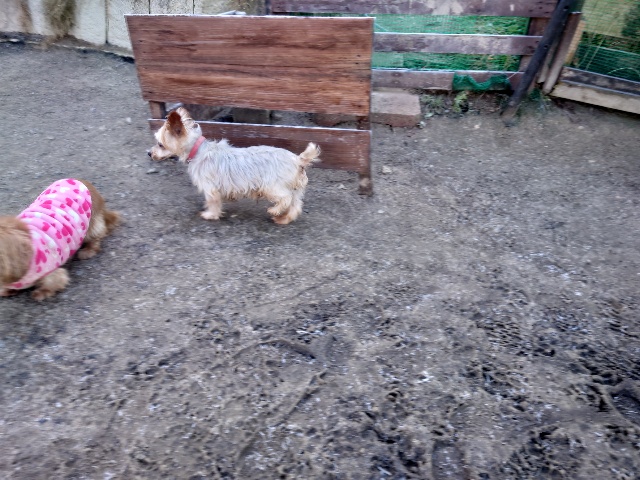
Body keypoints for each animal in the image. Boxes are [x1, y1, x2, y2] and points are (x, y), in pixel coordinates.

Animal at [147, 107, 320, 224]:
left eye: (160, 144)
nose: (149, 153)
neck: (197, 151)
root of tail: (297, 160)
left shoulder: (210, 188)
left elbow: (213, 202)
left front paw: (210, 215)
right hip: (296, 189)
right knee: (295, 206)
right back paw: (283, 218)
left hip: (271, 186)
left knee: (286, 198)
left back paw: (275, 210)